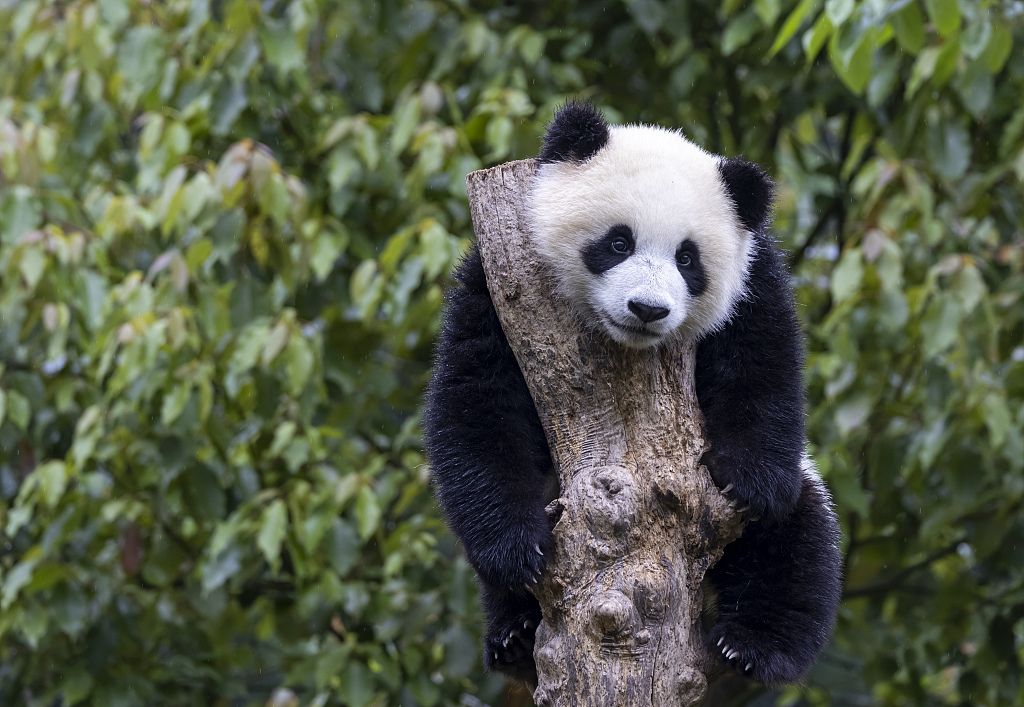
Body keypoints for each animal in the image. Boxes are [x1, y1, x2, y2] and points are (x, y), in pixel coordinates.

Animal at [421, 104, 839, 688]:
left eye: (688, 259)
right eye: (619, 243)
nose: (647, 309)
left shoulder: (753, 280)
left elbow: (763, 364)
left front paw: (750, 482)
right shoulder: (496, 282)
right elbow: (477, 398)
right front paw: (517, 547)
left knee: (796, 543)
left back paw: (752, 646)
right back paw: (515, 635)